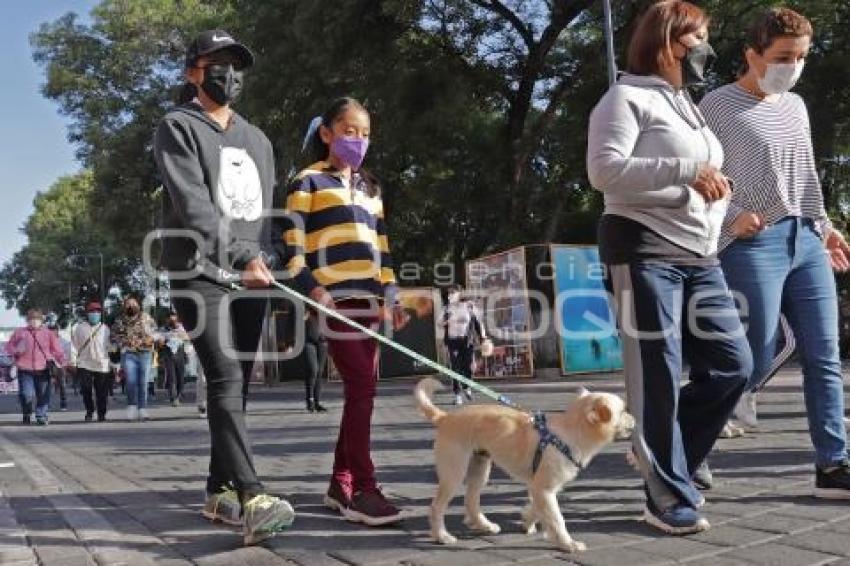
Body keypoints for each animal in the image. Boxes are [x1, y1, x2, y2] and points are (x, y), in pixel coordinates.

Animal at [414, 378, 632, 556]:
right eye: (622, 411)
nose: (635, 418)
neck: (567, 434)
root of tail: (445, 417)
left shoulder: (541, 489)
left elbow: (538, 509)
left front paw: (527, 521)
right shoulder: (543, 488)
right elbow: (557, 519)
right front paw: (567, 544)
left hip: (480, 469)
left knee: (471, 500)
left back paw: (484, 525)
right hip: (454, 474)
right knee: (436, 507)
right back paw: (442, 536)